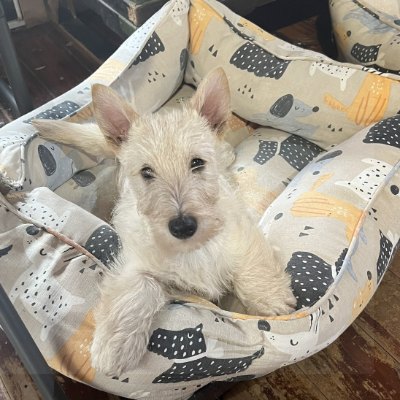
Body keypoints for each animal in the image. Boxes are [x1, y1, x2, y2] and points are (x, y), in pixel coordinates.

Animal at [33, 68, 296, 376]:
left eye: (197, 163)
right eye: (147, 172)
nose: (182, 226)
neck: (192, 248)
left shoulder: (240, 231)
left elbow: (252, 263)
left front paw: (272, 299)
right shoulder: (134, 264)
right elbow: (138, 289)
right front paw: (115, 347)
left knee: (224, 151)